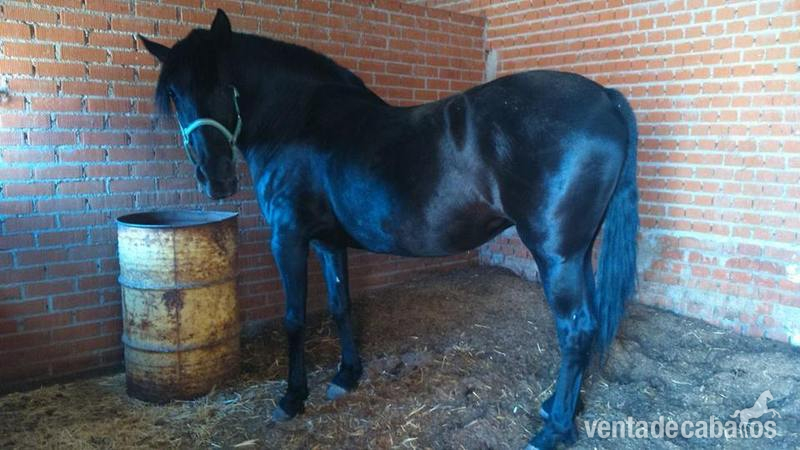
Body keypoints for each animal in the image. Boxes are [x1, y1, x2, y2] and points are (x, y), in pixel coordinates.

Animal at [141, 9, 638, 449]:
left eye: (225, 84)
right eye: (176, 96)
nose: (215, 180)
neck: (297, 121)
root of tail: (604, 98)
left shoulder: (288, 237)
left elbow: (294, 318)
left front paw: (291, 398)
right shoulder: (327, 242)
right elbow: (340, 305)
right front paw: (346, 376)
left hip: (556, 253)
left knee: (575, 329)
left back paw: (554, 431)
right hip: (577, 252)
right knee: (587, 325)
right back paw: (560, 407)